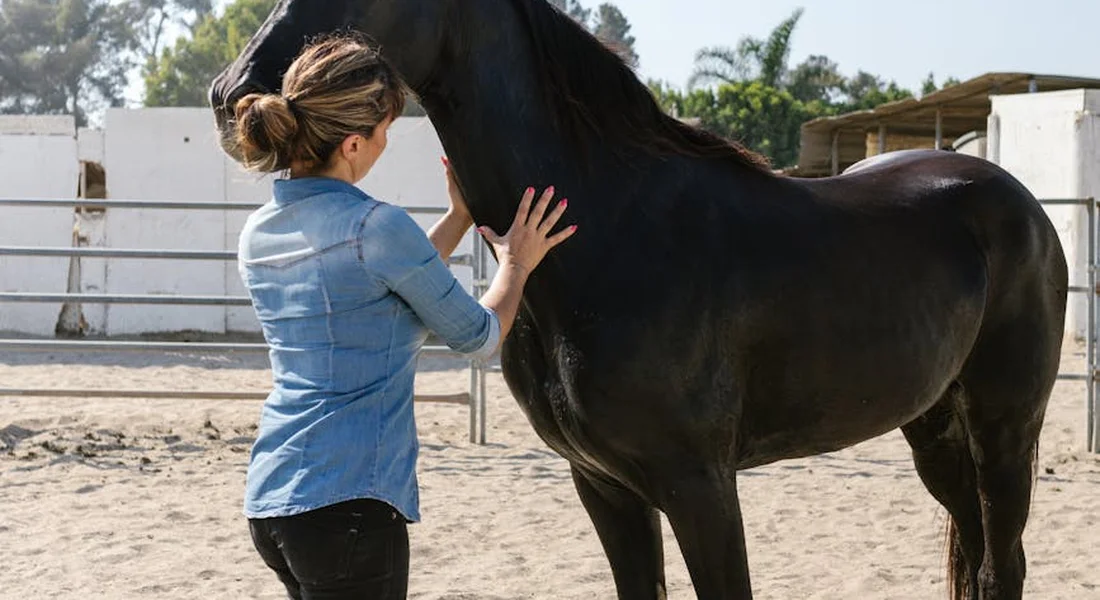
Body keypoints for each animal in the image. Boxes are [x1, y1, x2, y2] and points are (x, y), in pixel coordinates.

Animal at [209, 1, 1068, 598]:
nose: (234, 95)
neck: (610, 230)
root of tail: (1013, 199)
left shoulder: (701, 484)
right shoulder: (606, 487)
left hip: (1004, 430)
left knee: (1004, 566)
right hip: (935, 431)